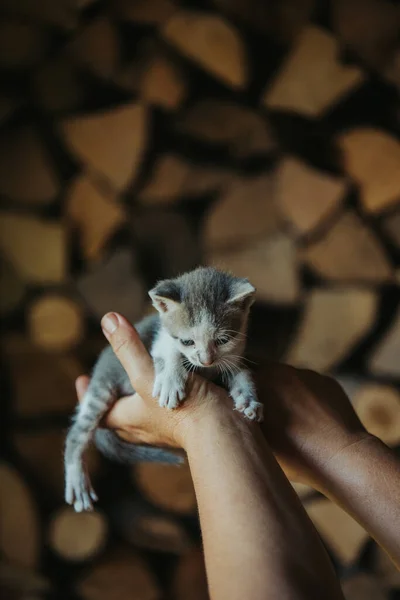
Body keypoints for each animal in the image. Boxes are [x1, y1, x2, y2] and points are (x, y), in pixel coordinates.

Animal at [65, 268, 262, 510]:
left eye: (222, 340)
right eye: (187, 342)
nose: (206, 360)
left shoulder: (233, 356)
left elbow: (242, 374)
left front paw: (248, 399)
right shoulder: (160, 339)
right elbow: (170, 350)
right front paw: (170, 380)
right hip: (101, 388)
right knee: (76, 434)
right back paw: (77, 479)